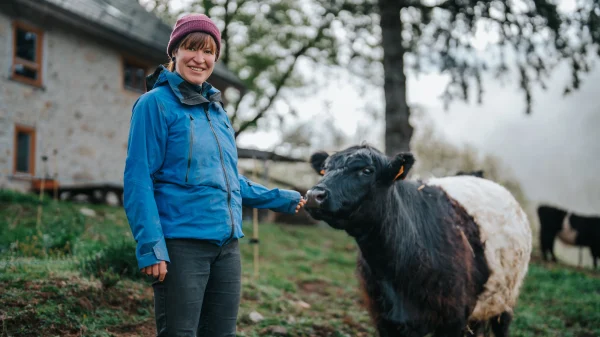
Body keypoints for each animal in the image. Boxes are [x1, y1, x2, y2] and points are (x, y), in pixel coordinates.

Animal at [304, 144, 528, 336]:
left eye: (367, 170)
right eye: (324, 170)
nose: (314, 195)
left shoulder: (454, 320)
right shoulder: (384, 320)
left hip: (506, 300)